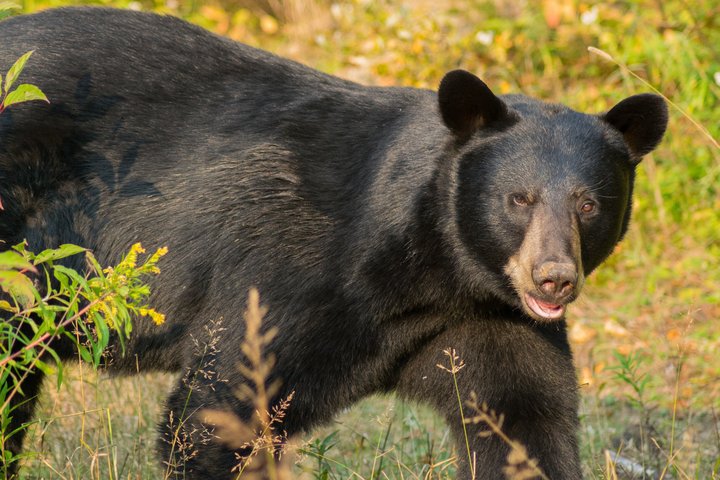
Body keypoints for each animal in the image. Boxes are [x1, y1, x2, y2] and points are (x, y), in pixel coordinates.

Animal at [0, 7, 668, 480]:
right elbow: (220, 407)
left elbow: (524, 419)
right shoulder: (291, 273)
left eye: (589, 204)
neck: (435, 271)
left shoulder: (488, 321)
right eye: (519, 199)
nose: (553, 277)